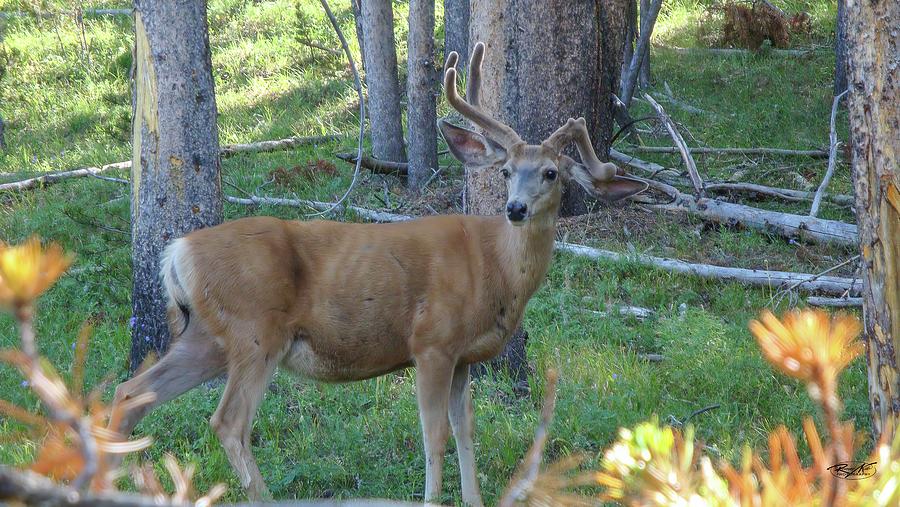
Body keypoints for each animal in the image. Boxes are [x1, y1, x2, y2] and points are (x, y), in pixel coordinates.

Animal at [110, 43, 648, 507]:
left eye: (551, 173)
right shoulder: (431, 343)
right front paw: (433, 498)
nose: (515, 209)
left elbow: (466, 430)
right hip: (254, 331)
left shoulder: (464, 357)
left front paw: (473, 499)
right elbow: (434, 435)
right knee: (227, 423)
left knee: (130, 393)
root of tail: (176, 251)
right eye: (506, 171)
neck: (493, 267)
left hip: (207, 336)